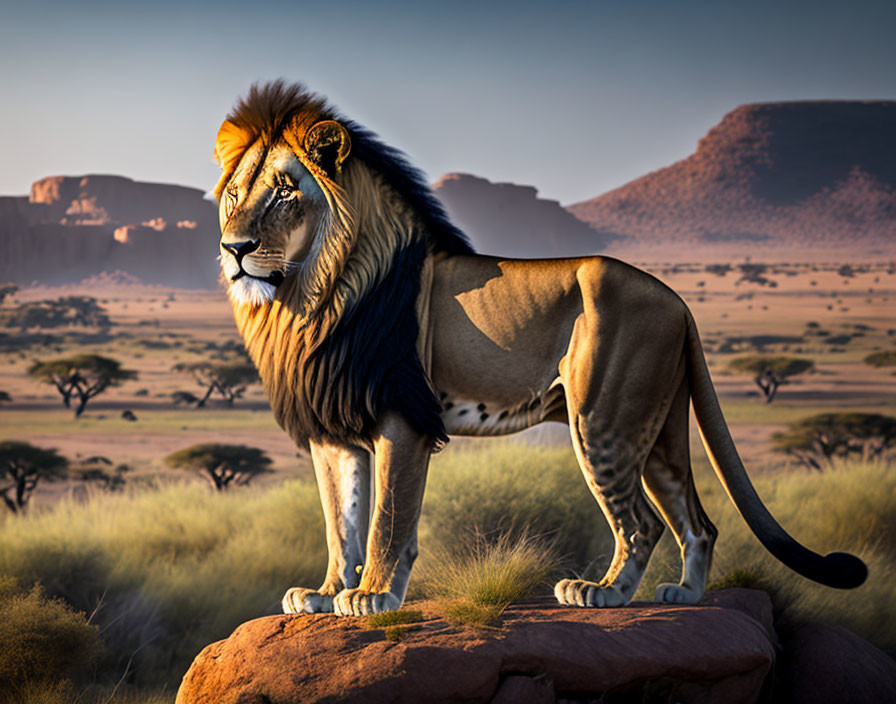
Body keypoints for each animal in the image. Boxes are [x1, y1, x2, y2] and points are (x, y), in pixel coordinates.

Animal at [214, 80, 864, 612]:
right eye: (236, 195)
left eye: (285, 192)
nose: (235, 248)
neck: (307, 296)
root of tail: (678, 300)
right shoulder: (333, 427)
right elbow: (339, 520)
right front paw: (326, 594)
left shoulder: (403, 414)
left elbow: (387, 518)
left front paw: (372, 596)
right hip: (656, 430)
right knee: (697, 520)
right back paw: (686, 592)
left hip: (602, 420)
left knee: (642, 523)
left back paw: (602, 592)